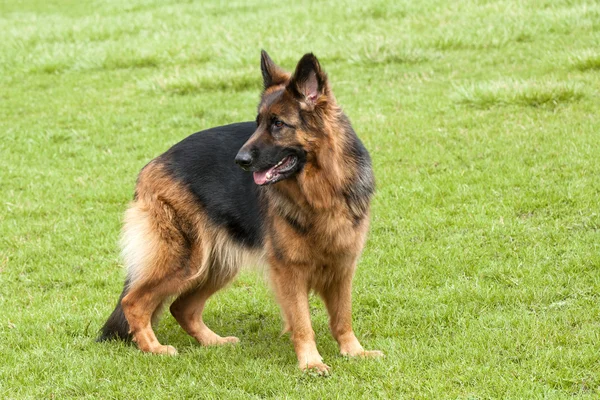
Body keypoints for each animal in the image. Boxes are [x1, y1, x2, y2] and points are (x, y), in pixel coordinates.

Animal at [96, 51, 382, 374]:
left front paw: (354, 352)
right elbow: (302, 323)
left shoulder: (343, 265)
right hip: (186, 260)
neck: (322, 190)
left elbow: (343, 317)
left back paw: (213, 342)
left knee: (181, 307)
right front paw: (311, 363)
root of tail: (151, 165)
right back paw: (153, 348)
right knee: (134, 302)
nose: (240, 160)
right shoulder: (289, 271)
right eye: (257, 123)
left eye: (278, 124)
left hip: (216, 266)